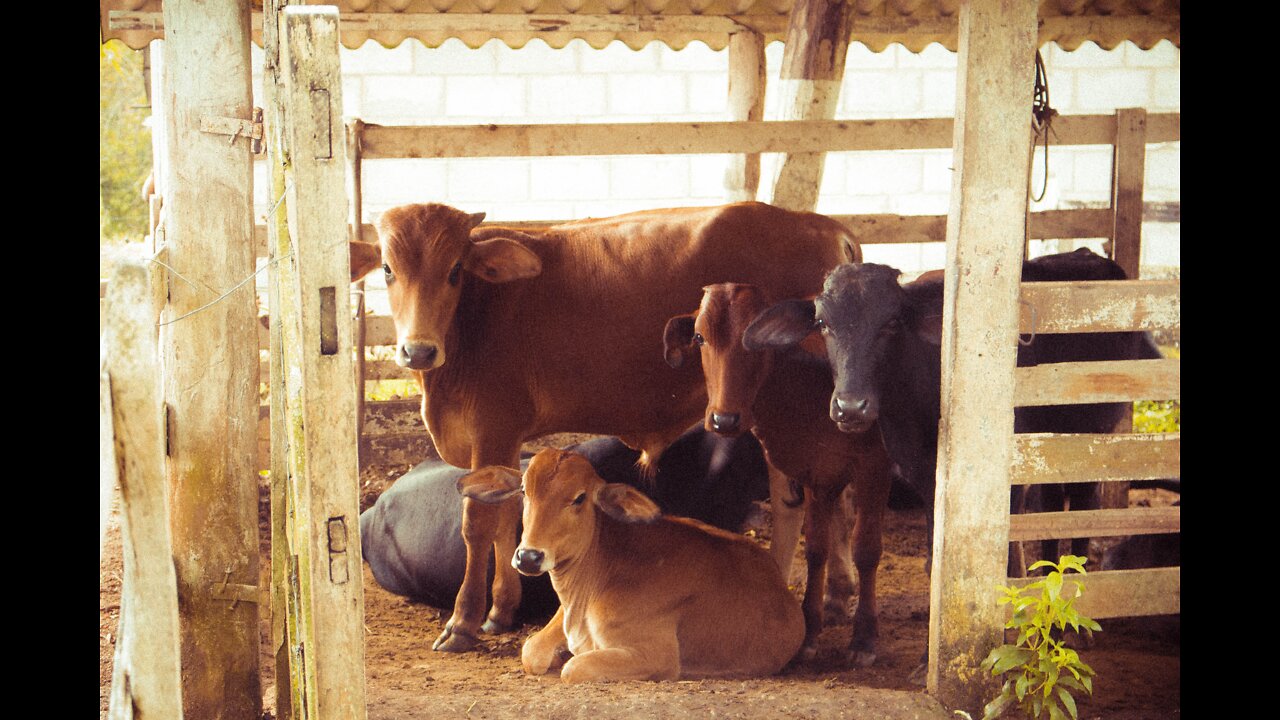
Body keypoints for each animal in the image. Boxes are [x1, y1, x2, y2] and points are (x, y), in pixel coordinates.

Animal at [458, 448, 798, 676]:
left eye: (580, 498)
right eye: (524, 491)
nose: (529, 556)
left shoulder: (656, 655)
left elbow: (574, 669)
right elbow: (531, 652)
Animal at [660, 283, 890, 666]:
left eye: (757, 340)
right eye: (699, 337)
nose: (724, 420)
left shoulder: (875, 467)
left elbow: (867, 550)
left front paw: (864, 639)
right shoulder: (817, 473)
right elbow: (816, 548)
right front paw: (809, 631)